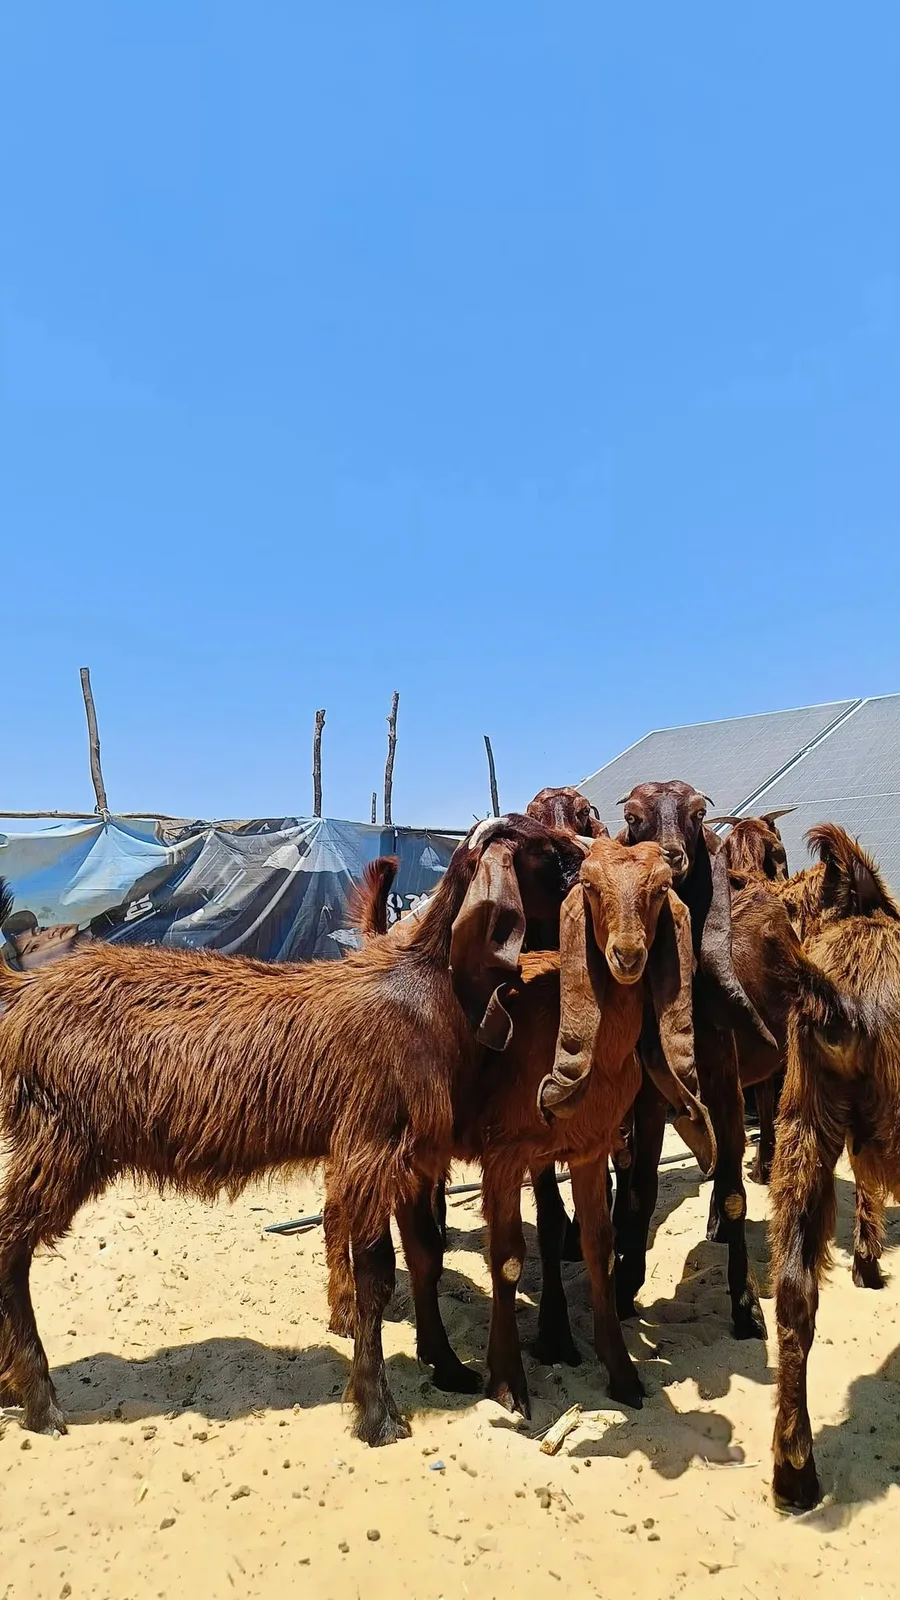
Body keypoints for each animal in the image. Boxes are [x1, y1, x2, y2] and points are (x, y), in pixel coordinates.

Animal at [0, 815, 582, 1448]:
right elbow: (377, 1278)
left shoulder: (401, 1157)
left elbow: (414, 1258)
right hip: (58, 1140)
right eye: (546, 849)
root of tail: (22, 992)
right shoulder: (371, 1147)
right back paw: (41, 1404)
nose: (591, 866)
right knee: (9, 1245)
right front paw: (378, 1416)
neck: (421, 982)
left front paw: (446, 1371)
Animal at [326, 837, 715, 1416]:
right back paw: (348, 1310)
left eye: (660, 888)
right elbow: (507, 1259)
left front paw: (621, 1373)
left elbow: (598, 1247)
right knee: (354, 1212)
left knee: (420, 1243)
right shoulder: (505, 1156)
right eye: (591, 887)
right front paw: (508, 1379)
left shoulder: (588, 1149)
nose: (626, 956)